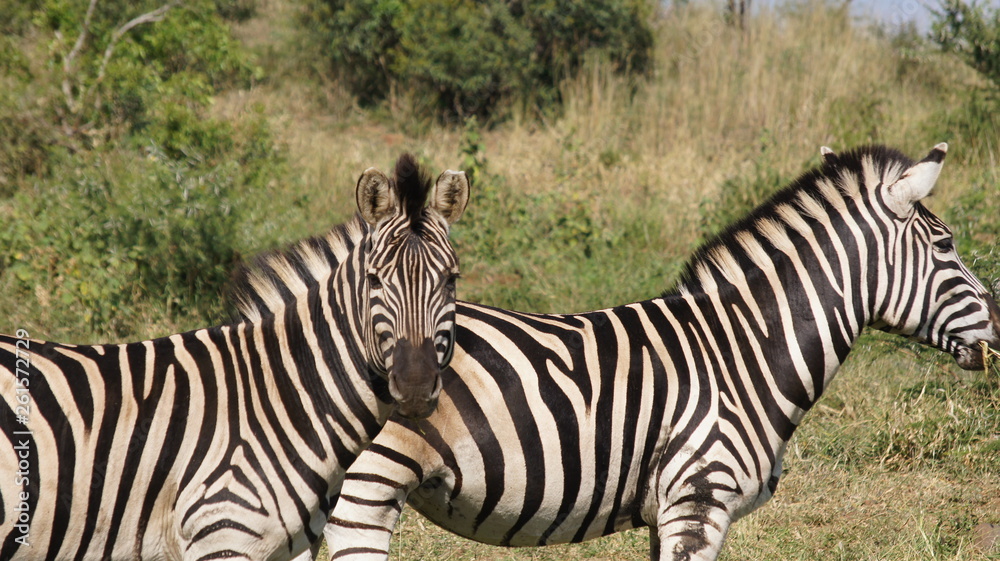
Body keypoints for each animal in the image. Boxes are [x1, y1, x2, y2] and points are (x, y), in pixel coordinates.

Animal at [0, 153, 470, 561]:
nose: (415, 387)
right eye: (374, 279)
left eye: (451, 280)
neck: (278, 399)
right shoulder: (221, 534)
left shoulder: (289, 549)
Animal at [319, 144, 1000, 561]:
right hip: (364, 490)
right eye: (946, 247)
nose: (999, 325)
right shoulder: (699, 499)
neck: (741, 355)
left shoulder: (668, 511)